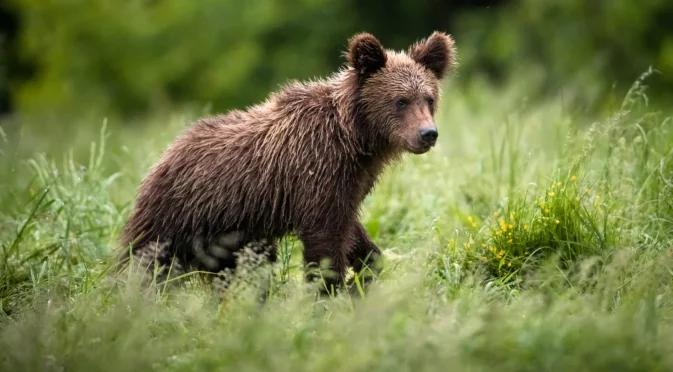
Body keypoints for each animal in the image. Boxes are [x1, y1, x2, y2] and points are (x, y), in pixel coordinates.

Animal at [118, 30, 460, 294]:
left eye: (429, 98)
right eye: (400, 101)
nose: (428, 134)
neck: (355, 138)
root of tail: (165, 154)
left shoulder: (349, 183)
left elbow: (351, 231)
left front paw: (365, 270)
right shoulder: (316, 171)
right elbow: (324, 242)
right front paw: (328, 292)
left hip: (230, 235)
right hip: (180, 213)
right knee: (144, 261)